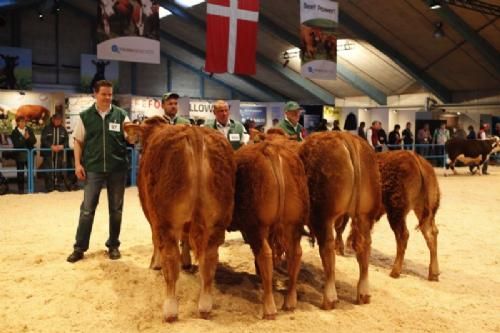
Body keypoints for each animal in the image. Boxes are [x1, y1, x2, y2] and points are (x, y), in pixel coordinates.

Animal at [124, 117, 235, 322]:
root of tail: (194, 132)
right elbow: (185, 240)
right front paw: (187, 261)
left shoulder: (152, 216)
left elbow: (156, 241)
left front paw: (155, 263)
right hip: (217, 221)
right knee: (209, 259)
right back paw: (205, 305)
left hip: (166, 220)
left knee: (171, 260)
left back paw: (170, 309)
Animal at [230, 139, 308, 318]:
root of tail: (271, 149)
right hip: (293, 224)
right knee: (295, 253)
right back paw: (290, 301)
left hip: (258, 226)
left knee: (265, 254)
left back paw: (269, 307)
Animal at [298, 131, 380, 308]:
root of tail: (346, 137)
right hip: (364, 215)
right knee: (364, 248)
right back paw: (363, 293)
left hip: (324, 217)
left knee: (327, 250)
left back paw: (329, 298)